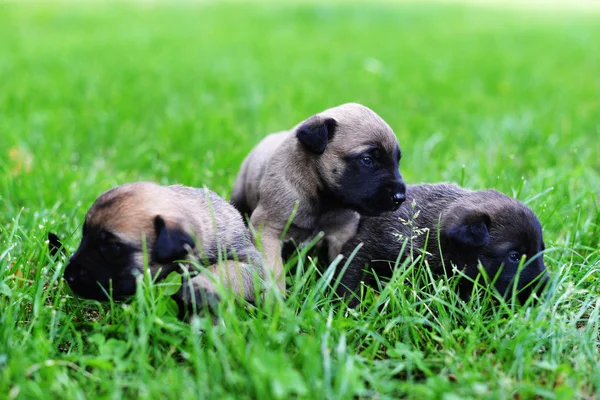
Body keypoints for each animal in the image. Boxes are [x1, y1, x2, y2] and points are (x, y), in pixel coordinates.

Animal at [230, 103, 408, 290]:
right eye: (367, 159)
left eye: (397, 161)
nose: (400, 197)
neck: (322, 199)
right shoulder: (268, 232)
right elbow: (275, 271)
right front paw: (275, 296)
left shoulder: (341, 235)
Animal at [336, 183, 552, 304]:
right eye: (514, 256)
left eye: (541, 251)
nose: (544, 288)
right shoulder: (364, 248)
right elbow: (350, 278)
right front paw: (349, 307)